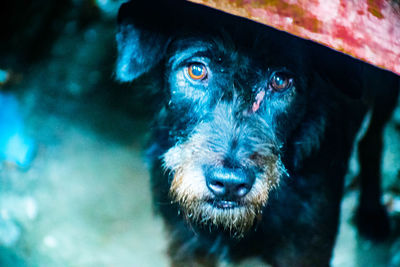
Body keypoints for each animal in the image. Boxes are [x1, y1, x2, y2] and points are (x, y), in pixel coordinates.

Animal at [115, 1, 400, 266]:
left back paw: (372, 214)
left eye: (280, 81)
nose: (229, 184)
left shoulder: (306, 247)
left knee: (372, 139)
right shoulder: (187, 245)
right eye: (196, 70)